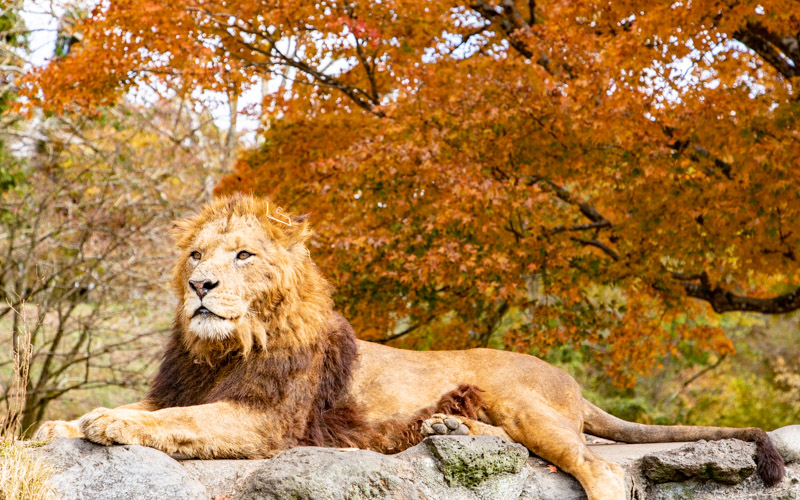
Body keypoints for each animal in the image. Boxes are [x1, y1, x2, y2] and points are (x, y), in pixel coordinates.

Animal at [36, 194, 780, 500]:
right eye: (195, 255)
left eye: (242, 255)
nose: (200, 285)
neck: (218, 350)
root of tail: (573, 381)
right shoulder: (190, 388)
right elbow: (155, 409)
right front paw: (60, 423)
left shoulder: (264, 421)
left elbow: (175, 422)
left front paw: (106, 422)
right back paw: (446, 425)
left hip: (524, 404)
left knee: (598, 469)